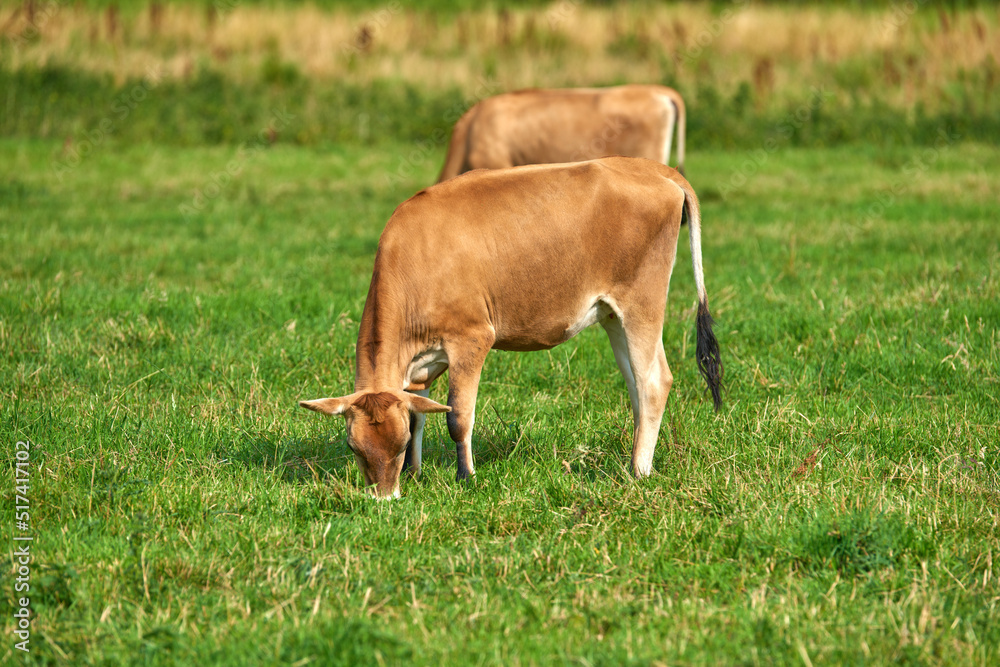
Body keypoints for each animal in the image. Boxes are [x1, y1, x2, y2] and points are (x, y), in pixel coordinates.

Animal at [298, 158, 720, 500]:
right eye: (354, 448)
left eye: (398, 445)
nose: (384, 498)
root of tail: (654, 168)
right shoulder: (420, 365)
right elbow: (420, 412)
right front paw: (415, 474)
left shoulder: (471, 339)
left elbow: (457, 416)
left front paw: (466, 476)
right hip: (613, 315)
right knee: (636, 384)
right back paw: (633, 459)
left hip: (642, 302)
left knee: (654, 381)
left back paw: (639, 471)